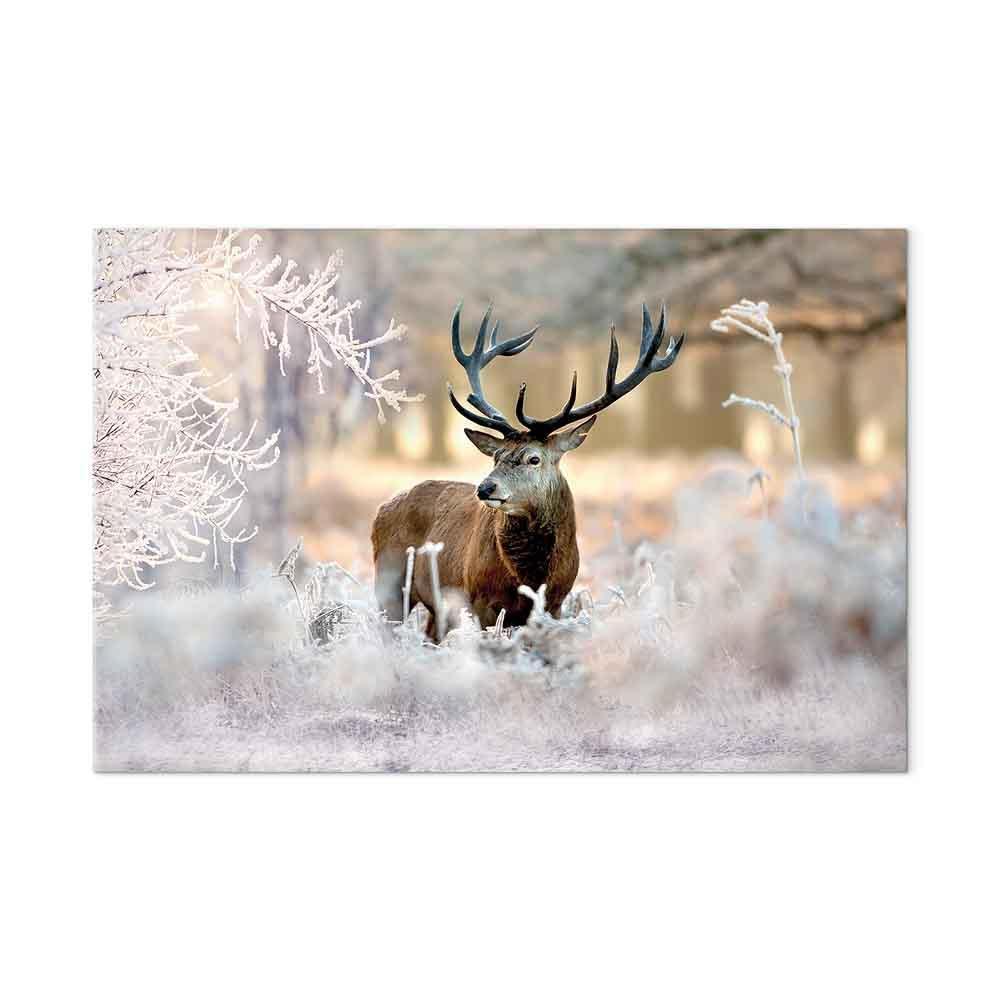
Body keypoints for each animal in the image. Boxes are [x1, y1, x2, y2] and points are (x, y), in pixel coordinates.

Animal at [371, 302, 685, 640]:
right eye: (496, 456)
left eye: (534, 459)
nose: (485, 488)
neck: (531, 577)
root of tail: (381, 508)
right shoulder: (480, 601)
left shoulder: (556, 602)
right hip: (389, 583)